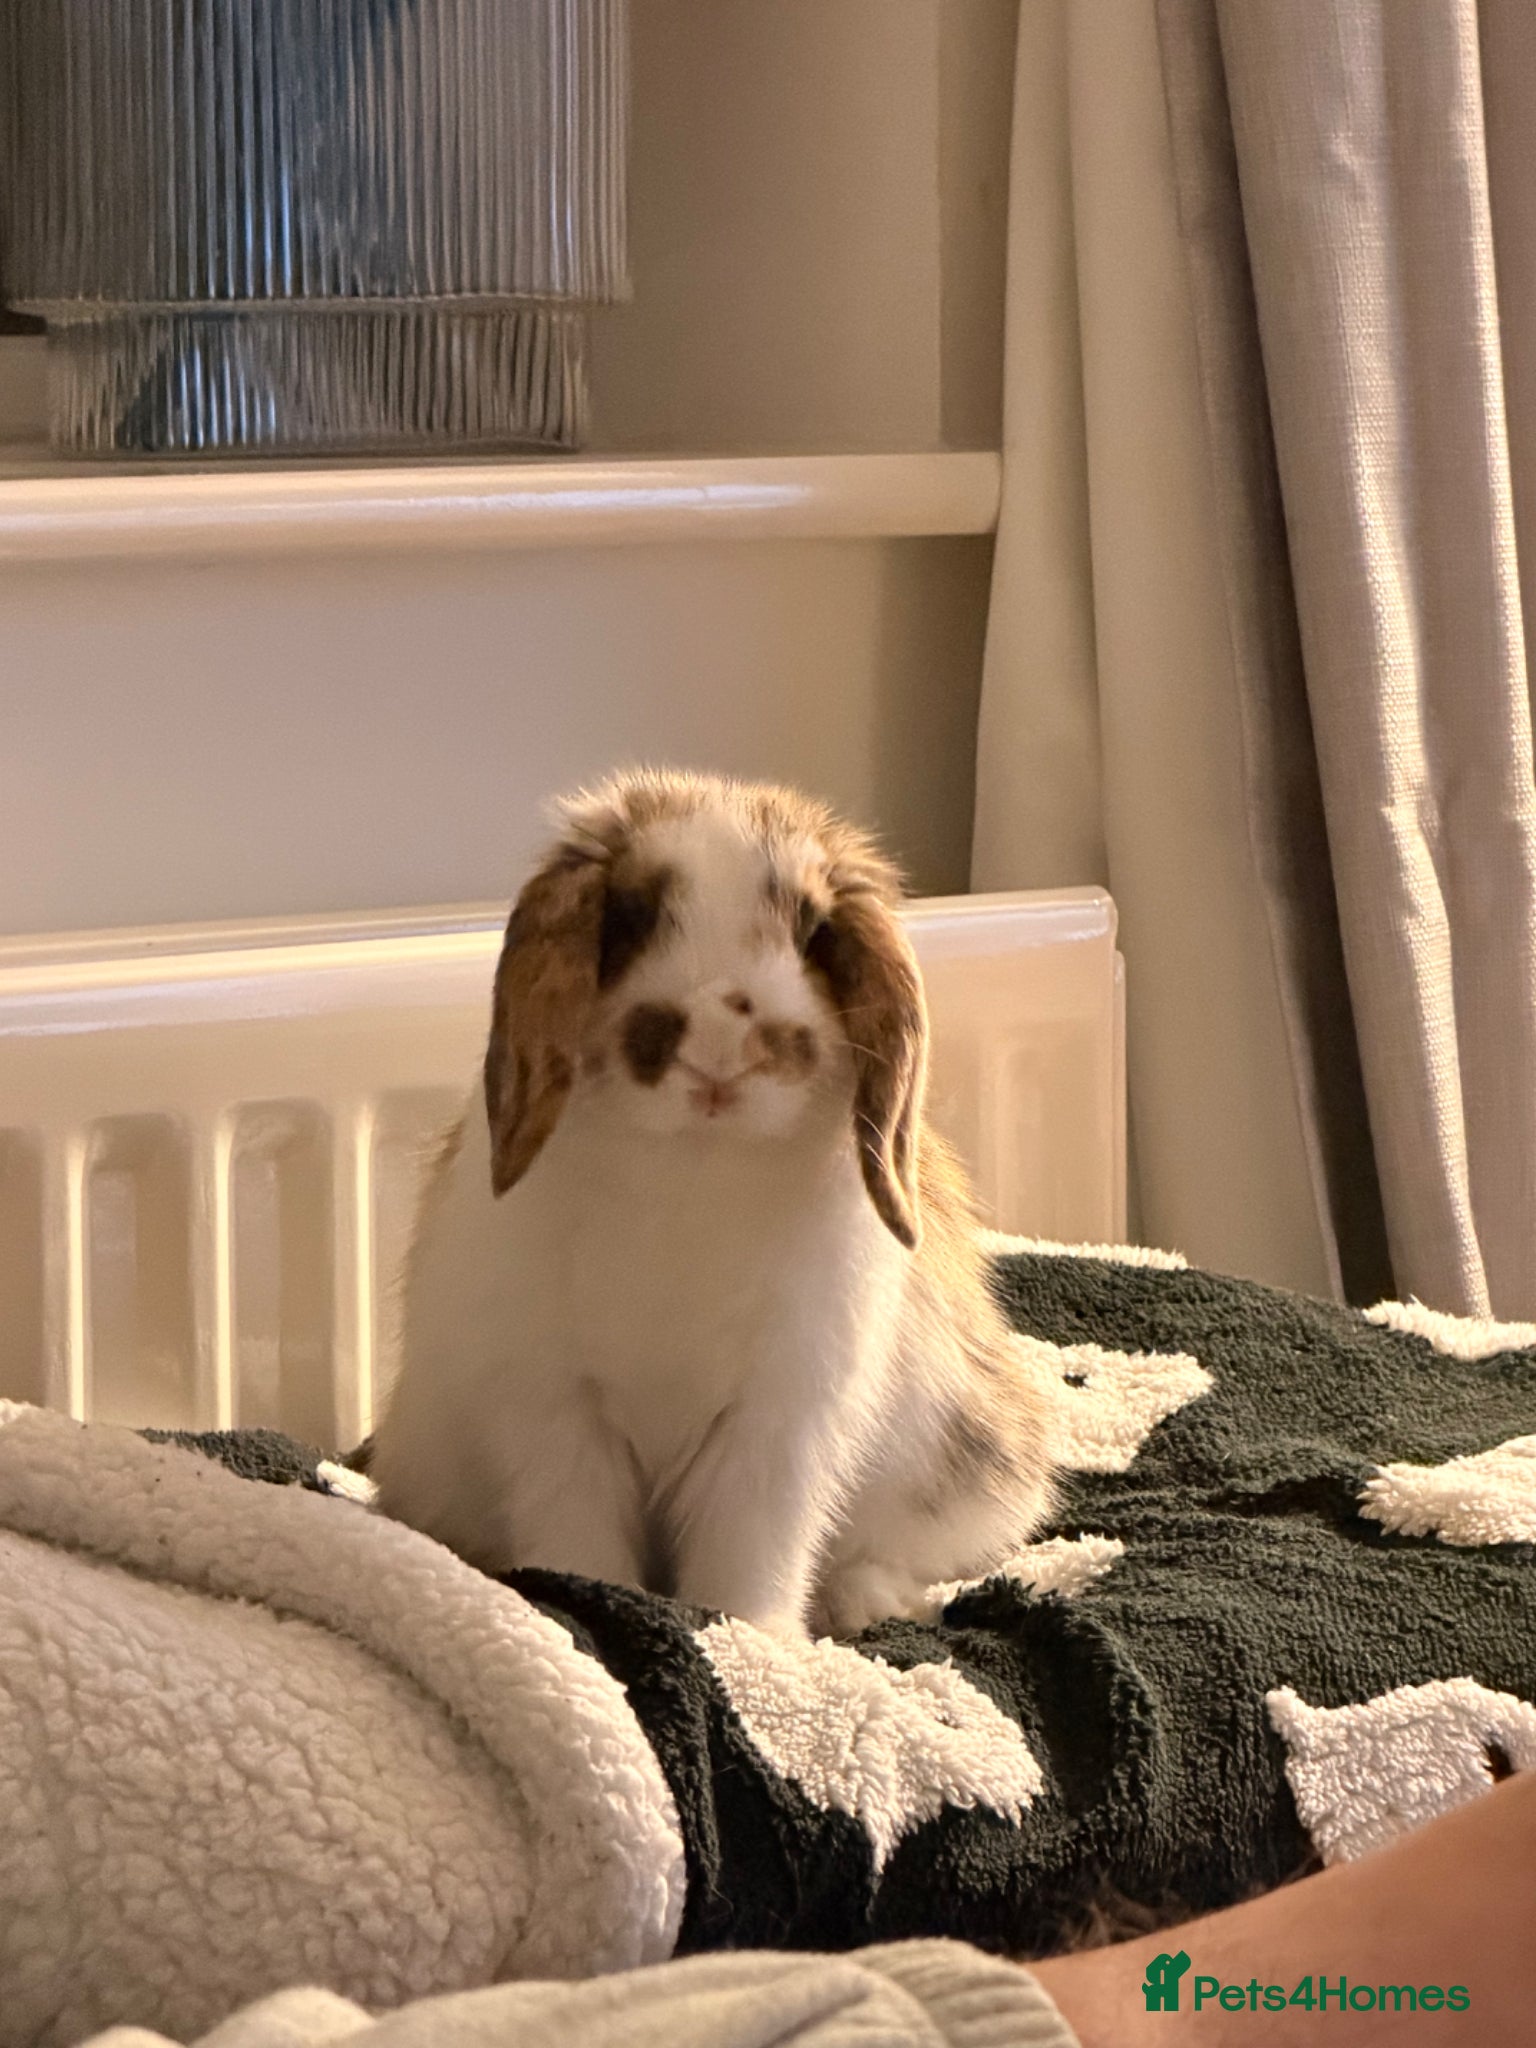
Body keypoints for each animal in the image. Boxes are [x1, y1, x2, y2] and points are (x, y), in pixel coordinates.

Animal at [368, 768, 1059, 1638]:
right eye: (629, 917)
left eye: (814, 932)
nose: (719, 1042)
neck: (694, 1161)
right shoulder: (560, 1415)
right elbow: (580, 1538)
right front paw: (591, 1608)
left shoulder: (775, 1424)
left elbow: (749, 1552)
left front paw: (753, 1639)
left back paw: (866, 1605)